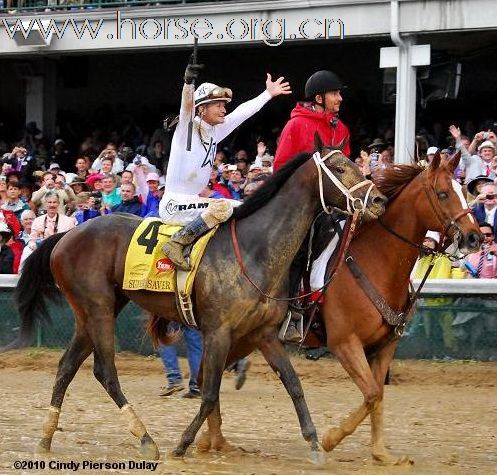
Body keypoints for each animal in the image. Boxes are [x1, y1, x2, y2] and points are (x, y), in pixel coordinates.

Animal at [8, 145, 388, 464]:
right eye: (339, 167)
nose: (379, 199)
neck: (255, 249)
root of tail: (66, 235)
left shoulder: (264, 334)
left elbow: (294, 385)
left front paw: (315, 443)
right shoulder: (218, 332)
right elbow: (209, 392)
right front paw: (184, 443)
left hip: (95, 311)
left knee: (66, 367)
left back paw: (45, 439)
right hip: (97, 307)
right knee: (105, 371)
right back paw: (145, 439)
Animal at [314, 152, 480, 464]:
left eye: (464, 192)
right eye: (442, 193)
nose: (476, 237)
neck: (375, 262)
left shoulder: (385, 346)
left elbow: (377, 395)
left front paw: (381, 453)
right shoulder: (345, 343)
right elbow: (371, 394)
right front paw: (330, 439)